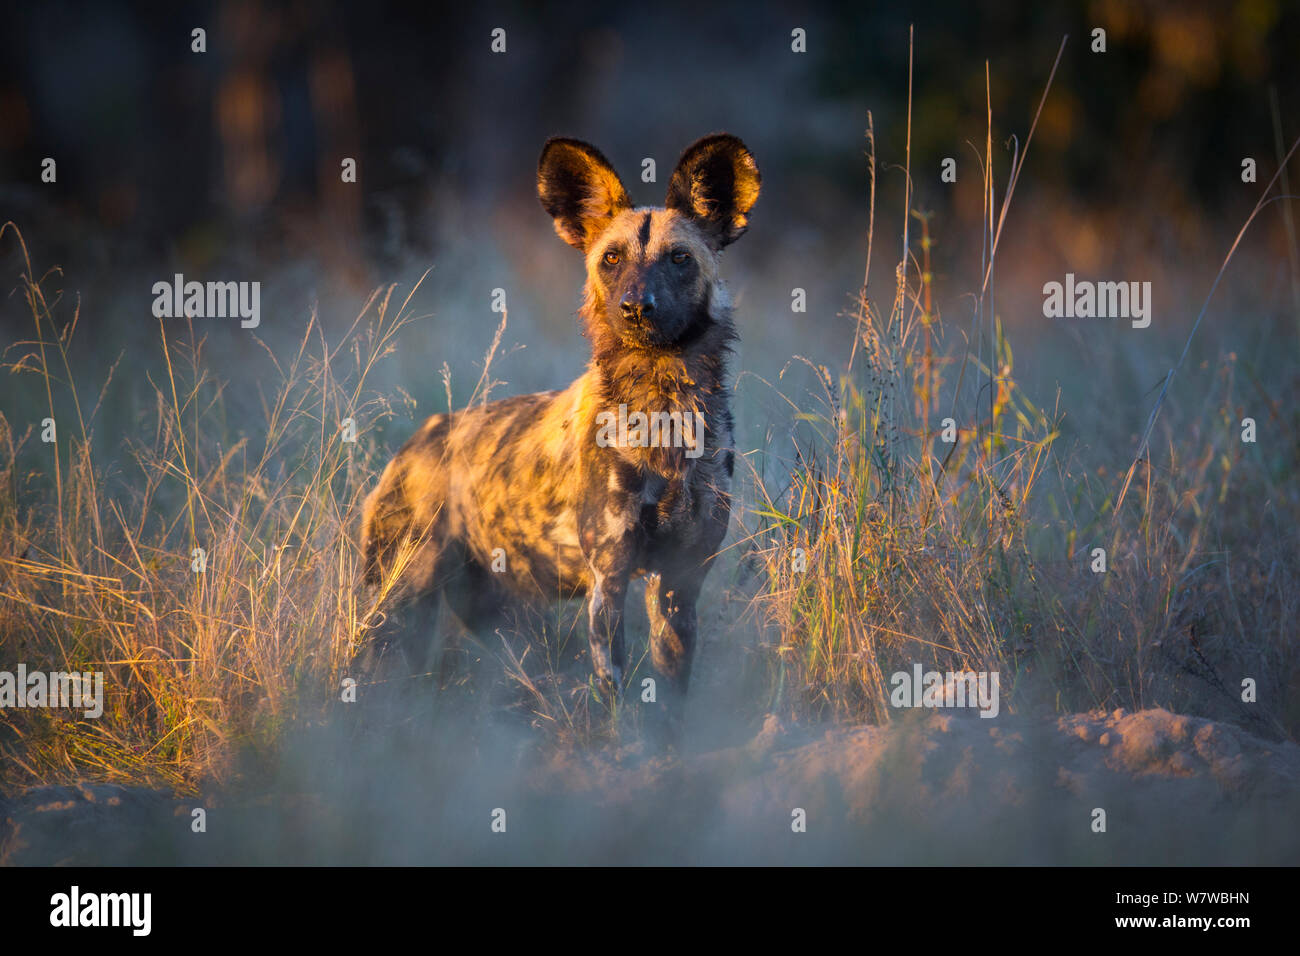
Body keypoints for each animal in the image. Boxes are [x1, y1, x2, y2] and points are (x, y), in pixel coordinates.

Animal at [358, 134, 759, 717]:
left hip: (503, 622)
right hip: (399, 604)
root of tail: (412, 445)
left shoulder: (679, 584)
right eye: (611, 259)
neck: (663, 407)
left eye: (680, 258)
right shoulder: (608, 580)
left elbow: (669, 703)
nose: (636, 307)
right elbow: (616, 700)